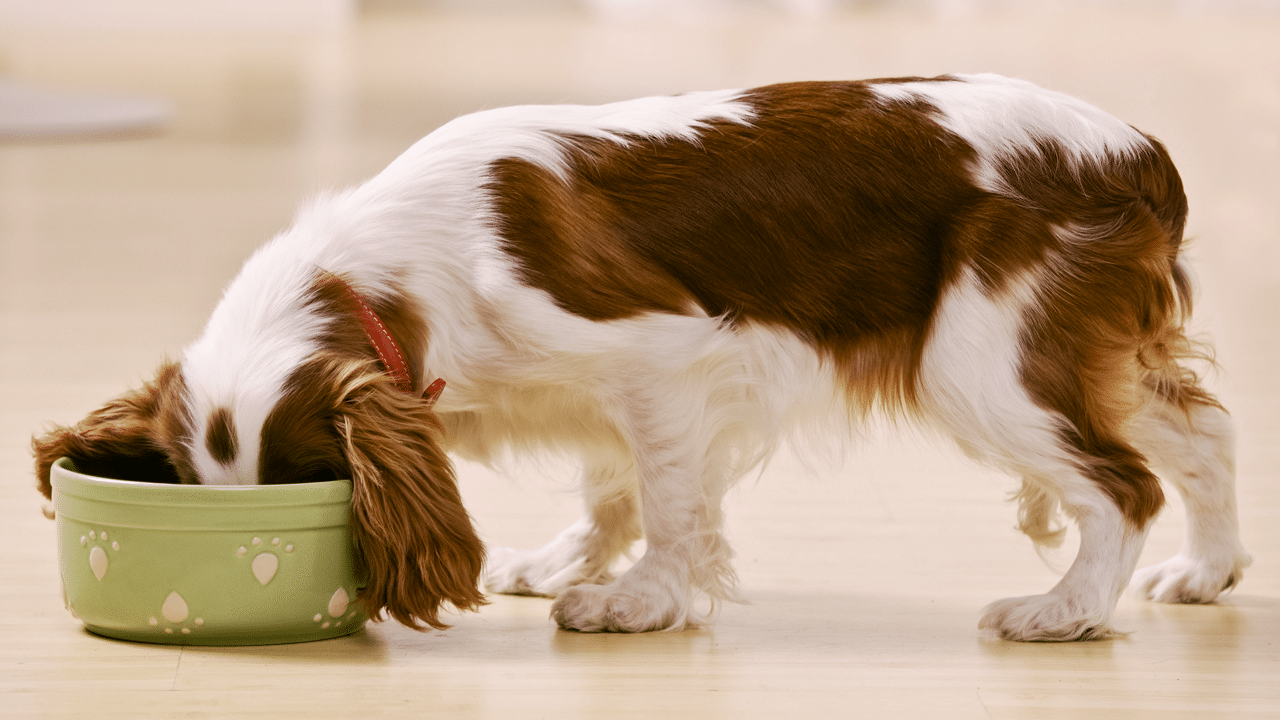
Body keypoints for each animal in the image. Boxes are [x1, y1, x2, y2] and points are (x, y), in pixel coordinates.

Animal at [32, 74, 1249, 638]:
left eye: (307, 487)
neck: (388, 275)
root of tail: (1135, 152)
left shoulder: (659, 361)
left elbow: (667, 499)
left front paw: (637, 601)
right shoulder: (603, 397)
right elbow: (611, 485)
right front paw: (572, 560)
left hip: (982, 360)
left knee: (1120, 484)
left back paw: (1063, 612)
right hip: (1080, 350)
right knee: (1200, 435)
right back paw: (1205, 571)